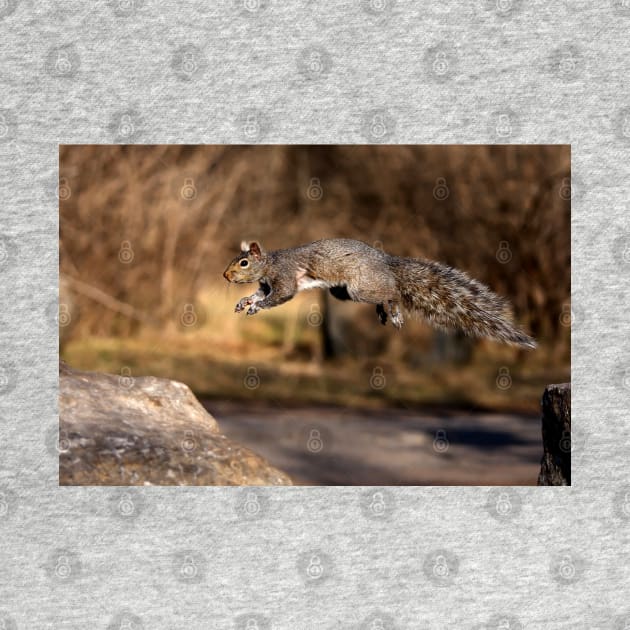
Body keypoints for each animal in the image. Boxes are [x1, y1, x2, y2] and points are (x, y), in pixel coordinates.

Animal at [223, 238, 540, 350]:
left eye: (244, 262)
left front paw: (257, 307)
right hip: (343, 293)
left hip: (358, 287)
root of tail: (387, 263)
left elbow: (280, 296)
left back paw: (394, 310)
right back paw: (384, 311)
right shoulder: (266, 284)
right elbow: (259, 294)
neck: (270, 264)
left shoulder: (285, 278)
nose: (225, 276)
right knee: (385, 295)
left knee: (394, 291)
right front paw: (245, 301)